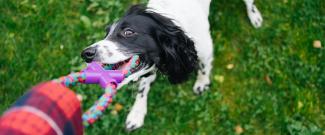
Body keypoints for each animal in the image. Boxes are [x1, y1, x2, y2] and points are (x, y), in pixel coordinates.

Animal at [80, 0, 260, 131]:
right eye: (106, 33)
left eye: (128, 32)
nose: (85, 53)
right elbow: (142, 89)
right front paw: (136, 114)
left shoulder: (205, 50)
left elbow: (203, 68)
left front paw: (202, 83)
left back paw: (255, 16)